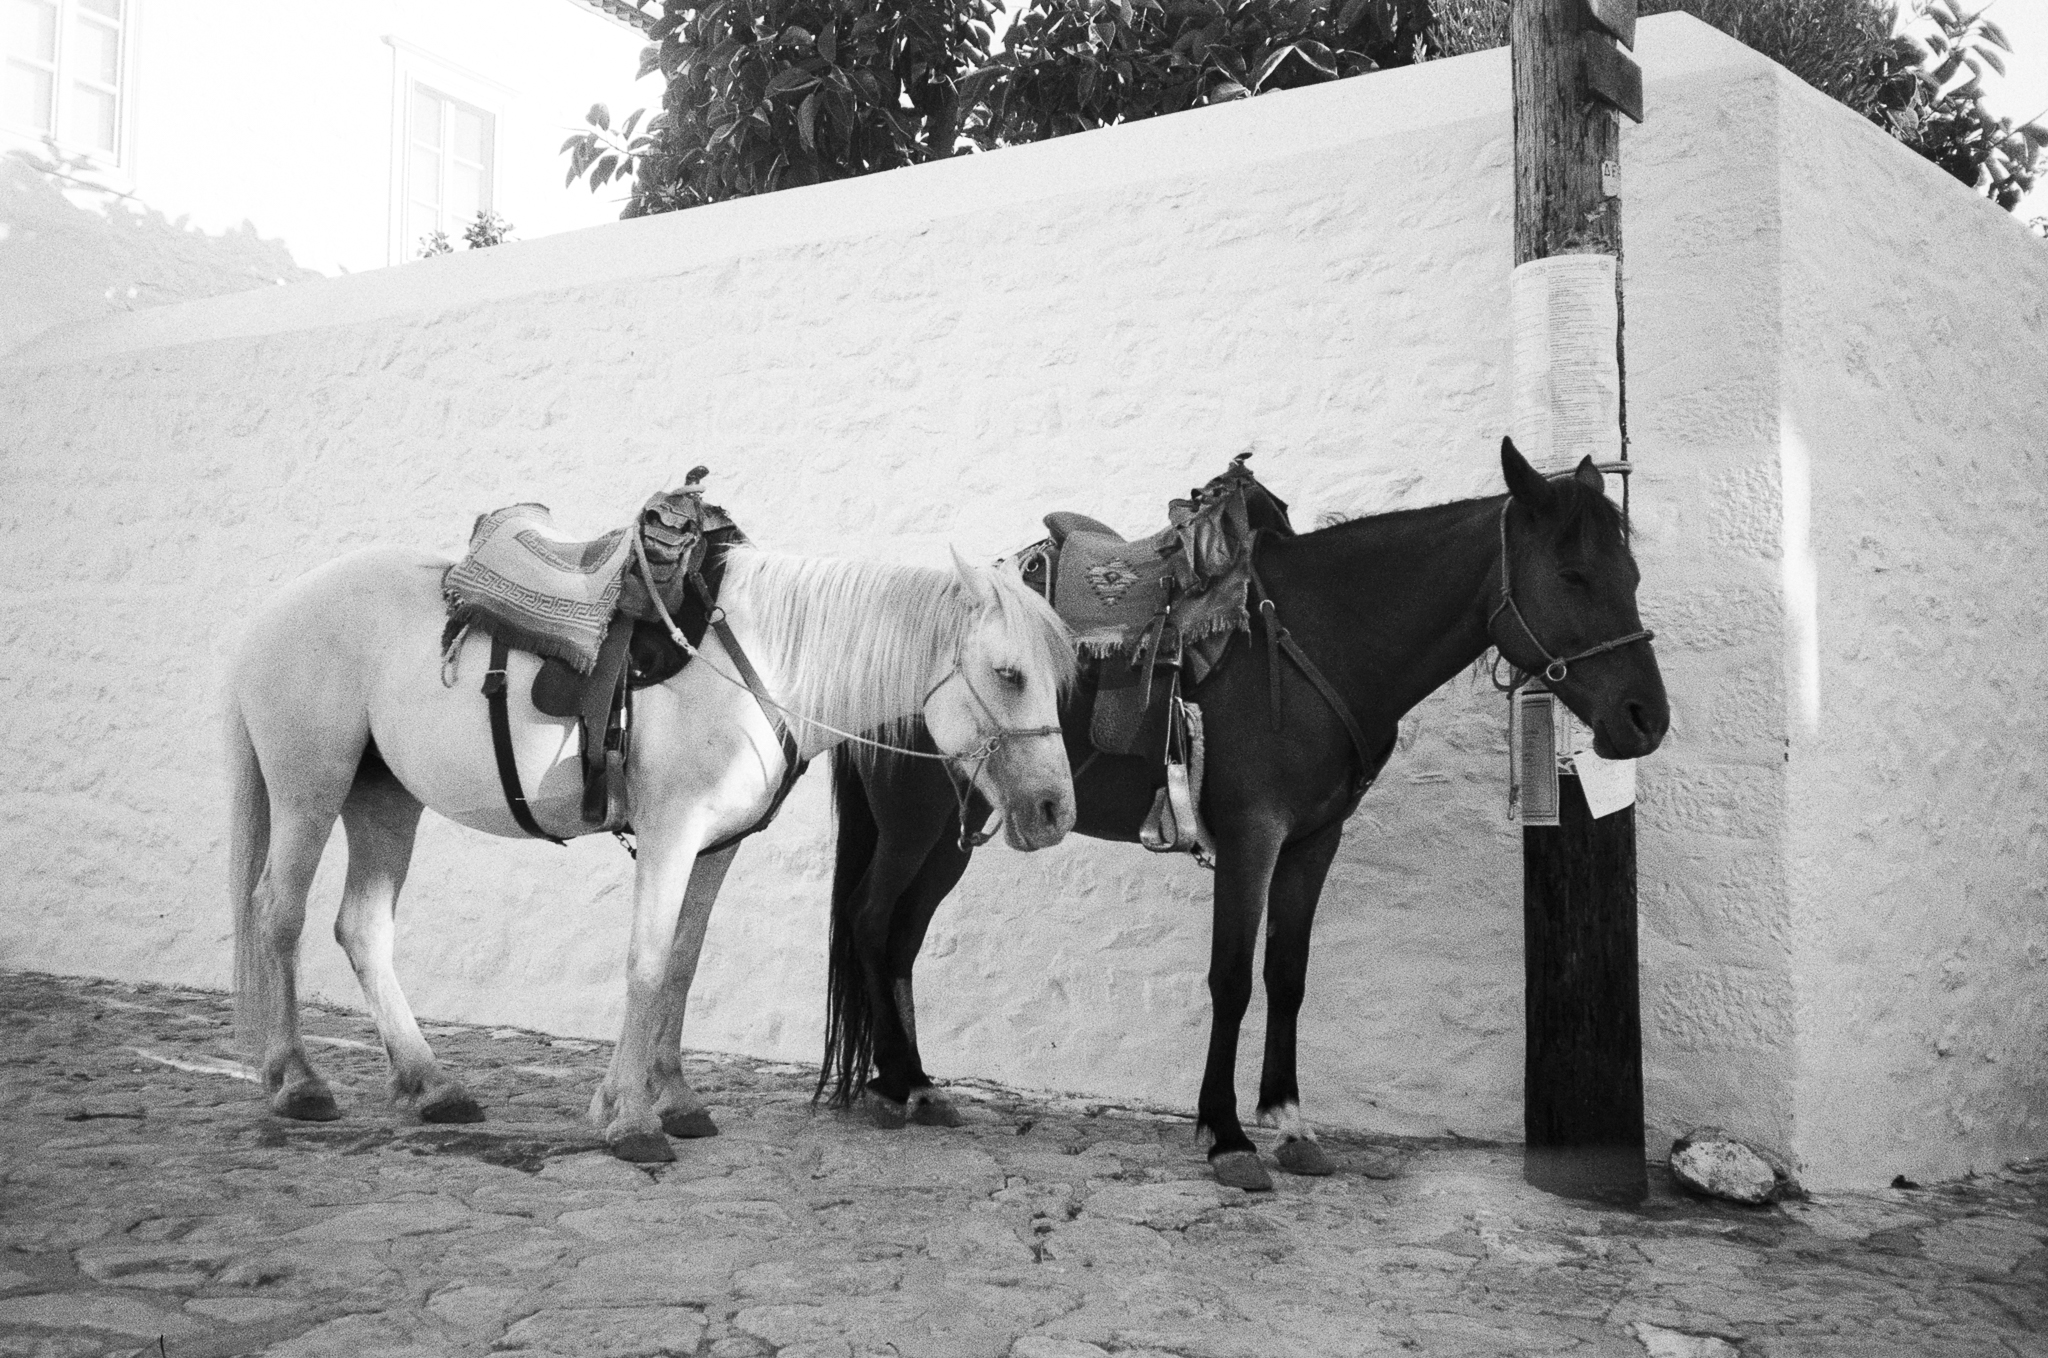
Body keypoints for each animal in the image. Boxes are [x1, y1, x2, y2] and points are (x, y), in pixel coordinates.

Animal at [227, 540, 1077, 1162]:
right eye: (1009, 674)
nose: (1053, 810)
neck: (760, 665)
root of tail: (272, 610)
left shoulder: (715, 848)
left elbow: (681, 964)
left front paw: (675, 1100)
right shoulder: (672, 832)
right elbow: (645, 961)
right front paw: (629, 1116)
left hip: (385, 799)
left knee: (363, 928)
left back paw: (431, 1085)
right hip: (311, 788)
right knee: (278, 913)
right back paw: (296, 1082)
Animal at [819, 439, 1670, 1189]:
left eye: (1630, 572)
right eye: (1572, 574)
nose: (1646, 719)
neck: (1322, 636)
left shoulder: (1313, 841)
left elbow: (1286, 974)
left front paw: (1290, 1123)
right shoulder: (1252, 836)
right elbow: (1230, 976)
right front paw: (1227, 1135)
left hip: (951, 833)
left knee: (901, 937)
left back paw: (911, 1081)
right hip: (912, 822)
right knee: (870, 919)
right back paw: (896, 1085)